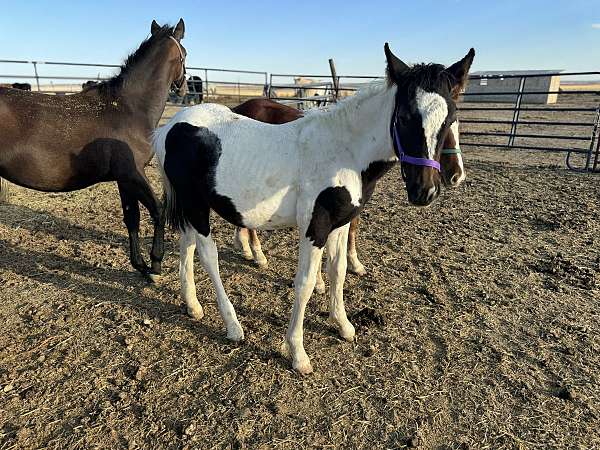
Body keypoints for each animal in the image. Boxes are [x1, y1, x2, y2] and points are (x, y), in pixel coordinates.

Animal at [0, 21, 188, 284]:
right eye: (185, 54)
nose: (183, 89)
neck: (128, 109)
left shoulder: (124, 179)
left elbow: (132, 219)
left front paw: (140, 265)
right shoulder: (133, 174)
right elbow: (158, 211)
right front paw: (155, 265)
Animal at [227, 99, 466, 288]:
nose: (457, 175)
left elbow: (351, 230)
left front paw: (354, 264)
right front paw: (320, 282)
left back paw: (245, 248)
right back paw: (258, 255)